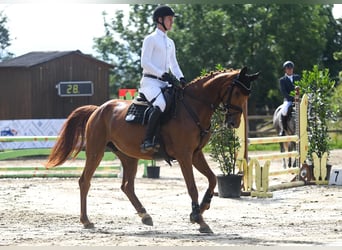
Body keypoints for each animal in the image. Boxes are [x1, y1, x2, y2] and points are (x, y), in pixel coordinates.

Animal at [46, 66, 260, 232]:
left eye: (248, 95)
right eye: (238, 93)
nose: (234, 123)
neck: (193, 107)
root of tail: (98, 109)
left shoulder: (196, 154)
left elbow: (213, 179)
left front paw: (202, 208)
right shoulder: (184, 156)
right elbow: (192, 187)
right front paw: (199, 219)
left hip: (128, 157)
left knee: (127, 186)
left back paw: (145, 215)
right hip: (95, 152)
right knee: (85, 181)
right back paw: (86, 220)